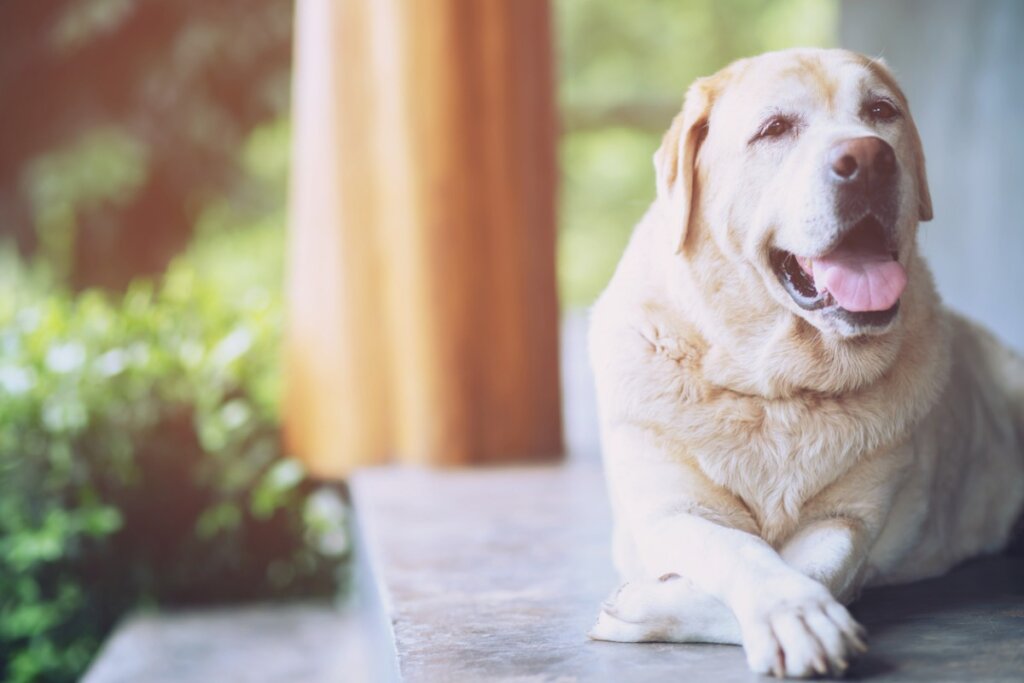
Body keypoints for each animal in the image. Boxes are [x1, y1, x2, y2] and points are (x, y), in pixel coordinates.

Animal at [585, 46, 1024, 679]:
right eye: (774, 128)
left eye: (881, 111)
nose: (869, 158)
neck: (777, 389)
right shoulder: (670, 511)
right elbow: (739, 548)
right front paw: (786, 610)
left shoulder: (850, 519)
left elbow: (815, 569)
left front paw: (649, 605)